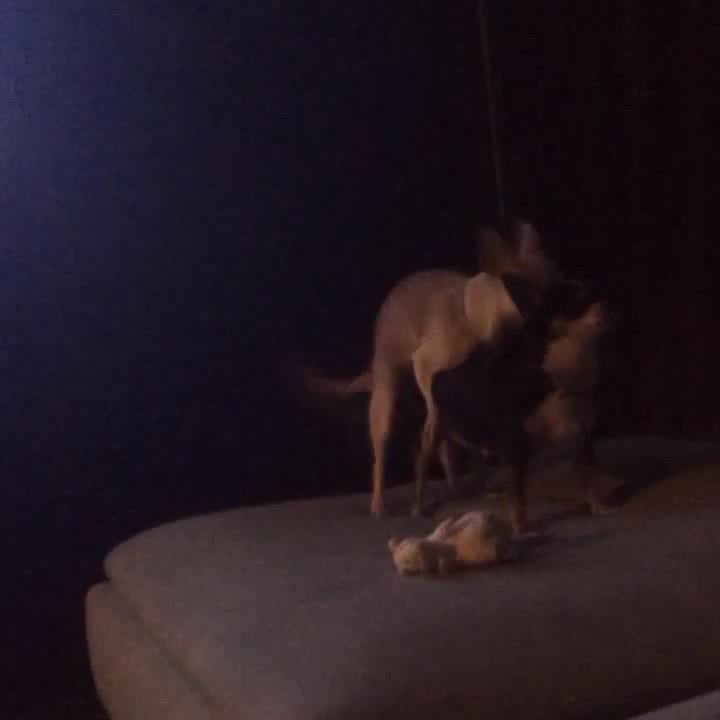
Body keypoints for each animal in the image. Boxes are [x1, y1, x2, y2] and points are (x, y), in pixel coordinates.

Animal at [299, 222, 561, 516]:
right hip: (387, 386)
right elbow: (437, 413)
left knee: (446, 447)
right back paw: (380, 504)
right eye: (541, 290)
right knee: (384, 444)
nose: (575, 290)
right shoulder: (425, 363)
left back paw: (461, 485)